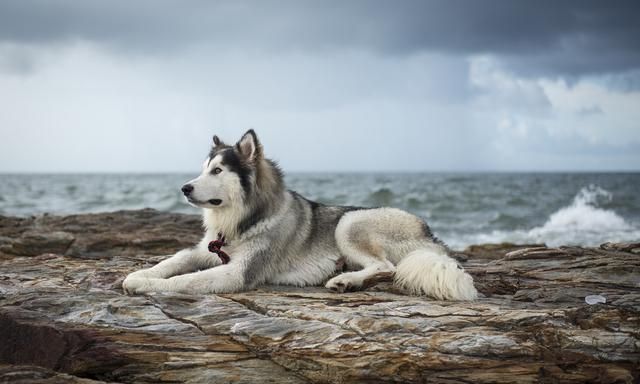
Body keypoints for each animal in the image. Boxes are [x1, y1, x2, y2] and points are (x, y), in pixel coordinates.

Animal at [122, 129, 478, 300]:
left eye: (218, 170)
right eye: (203, 169)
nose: (184, 188)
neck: (242, 220)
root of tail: (430, 235)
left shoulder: (236, 273)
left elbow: (185, 280)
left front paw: (146, 286)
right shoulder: (206, 250)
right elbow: (176, 260)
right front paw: (138, 276)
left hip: (350, 223)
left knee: (386, 267)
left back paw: (345, 280)